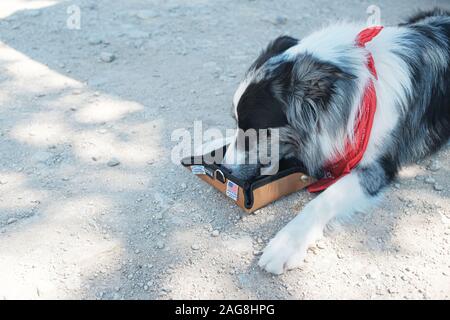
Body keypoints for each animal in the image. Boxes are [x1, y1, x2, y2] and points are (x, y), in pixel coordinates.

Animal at [224, 10, 450, 276]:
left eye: (257, 131)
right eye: (235, 122)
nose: (225, 170)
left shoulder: (376, 168)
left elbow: (326, 198)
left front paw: (285, 245)